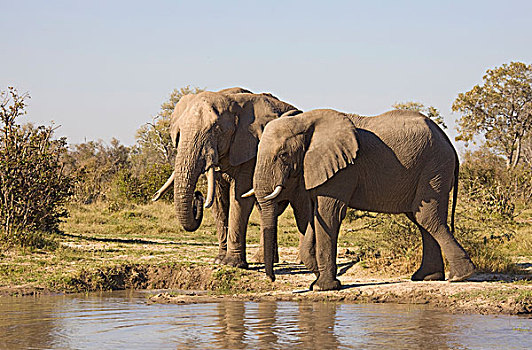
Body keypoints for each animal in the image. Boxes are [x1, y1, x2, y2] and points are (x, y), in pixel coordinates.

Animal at [152, 87, 302, 268]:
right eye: (179, 133)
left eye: (217, 130)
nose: (197, 195)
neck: (229, 98)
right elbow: (218, 200)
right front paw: (219, 260)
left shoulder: (250, 149)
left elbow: (239, 197)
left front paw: (232, 264)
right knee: (265, 207)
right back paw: (262, 260)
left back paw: (300, 261)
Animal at [247, 108, 476, 290]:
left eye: (283, 155)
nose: (272, 279)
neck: (305, 121)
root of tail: (448, 142)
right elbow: (315, 216)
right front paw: (317, 282)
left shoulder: (343, 170)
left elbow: (329, 215)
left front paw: (323, 287)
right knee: (420, 219)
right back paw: (427, 278)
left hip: (435, 167)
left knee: (427, 218)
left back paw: (460, 276)